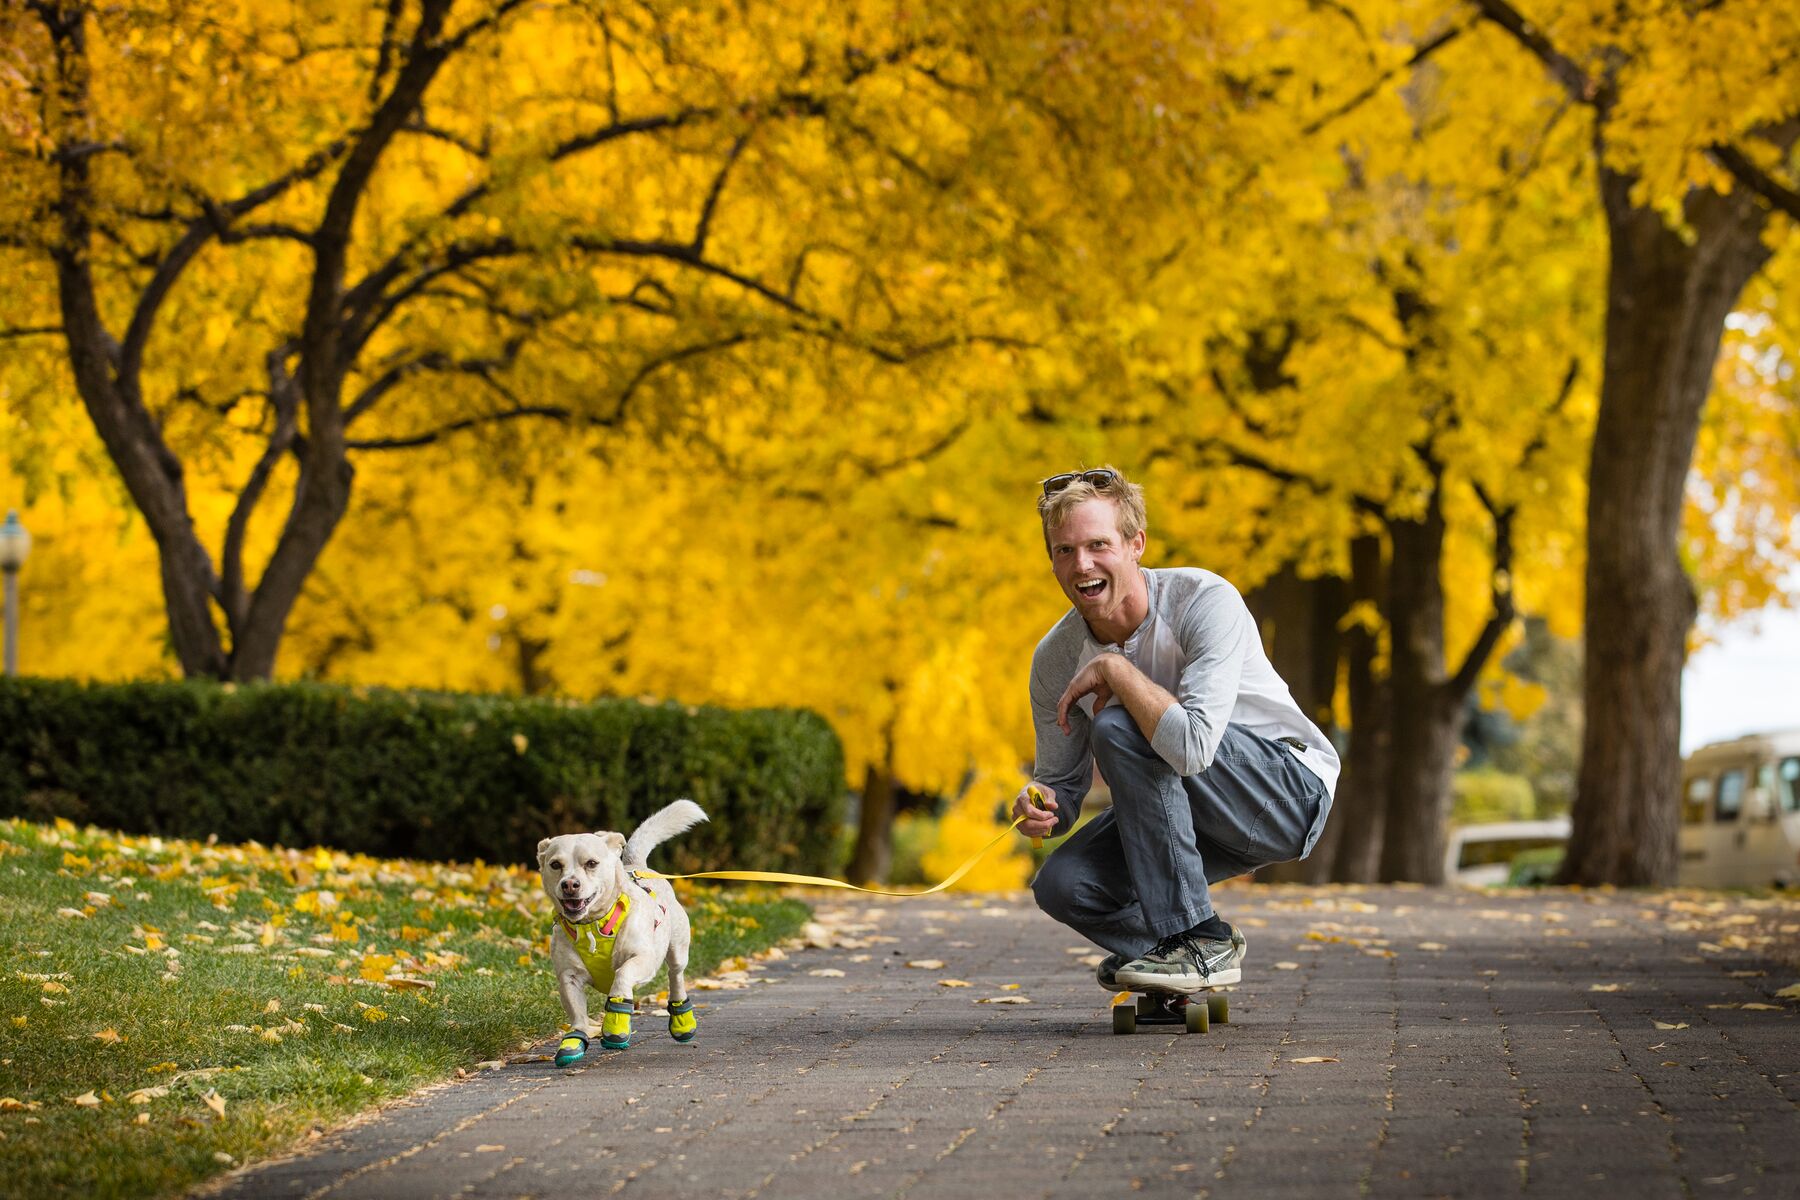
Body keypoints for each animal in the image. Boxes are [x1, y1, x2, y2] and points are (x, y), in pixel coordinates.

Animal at [532, 802, 702, 1065]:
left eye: (591, 863)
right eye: (555, 865)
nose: (569, 884)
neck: (592, 924)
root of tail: (638, 866)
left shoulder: (643, 959)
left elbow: (622, 976)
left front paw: (615, 1024)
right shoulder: (569, 976)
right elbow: (577, 1013)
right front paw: (574, 1041)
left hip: (677, 950)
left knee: (676, 977)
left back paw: (682, 1021)